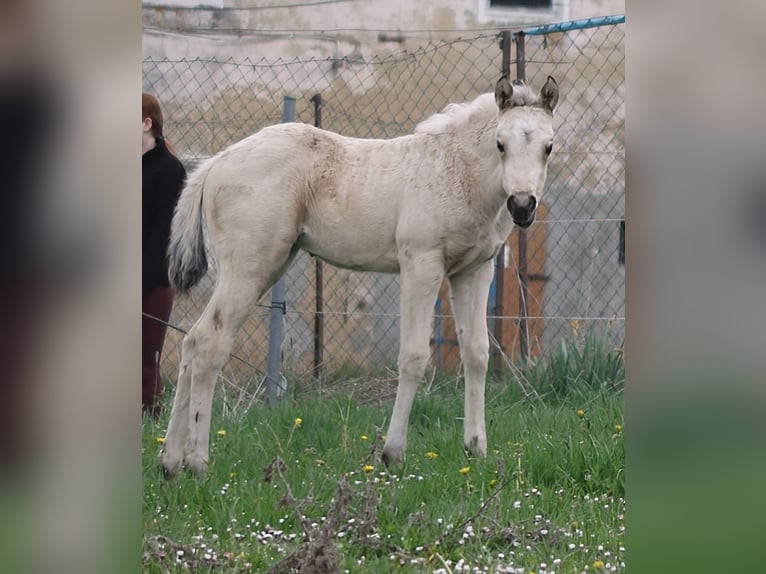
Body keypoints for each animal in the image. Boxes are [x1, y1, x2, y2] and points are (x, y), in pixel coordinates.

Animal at [159, 75, 559, 477]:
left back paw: (170, 462)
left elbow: (477, 353)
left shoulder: (473, 271)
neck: (457, 172)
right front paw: (393, 452)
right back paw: (197, 461)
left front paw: (476, 449)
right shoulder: (421, 263)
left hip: (268, 264)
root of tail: (214, 164)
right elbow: (414, 356)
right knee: (209, 342)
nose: (522, 206)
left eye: (549, 147)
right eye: (500, 144)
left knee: (191, 342)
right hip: (249, 266)